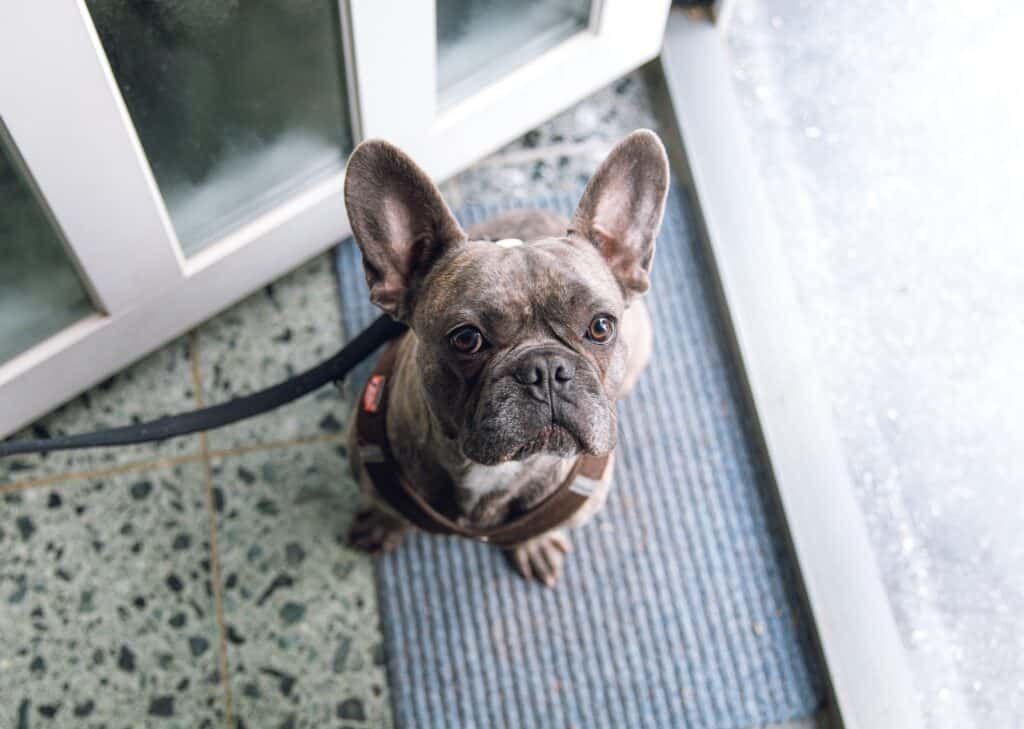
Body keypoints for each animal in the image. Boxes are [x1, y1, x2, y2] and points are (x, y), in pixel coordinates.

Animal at [339, 131, 667, 585]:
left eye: (601, 327)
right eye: (466, 339)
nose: (546, 369)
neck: (496, 471)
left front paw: (534, 545)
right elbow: (388, 510)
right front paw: (383, 523)